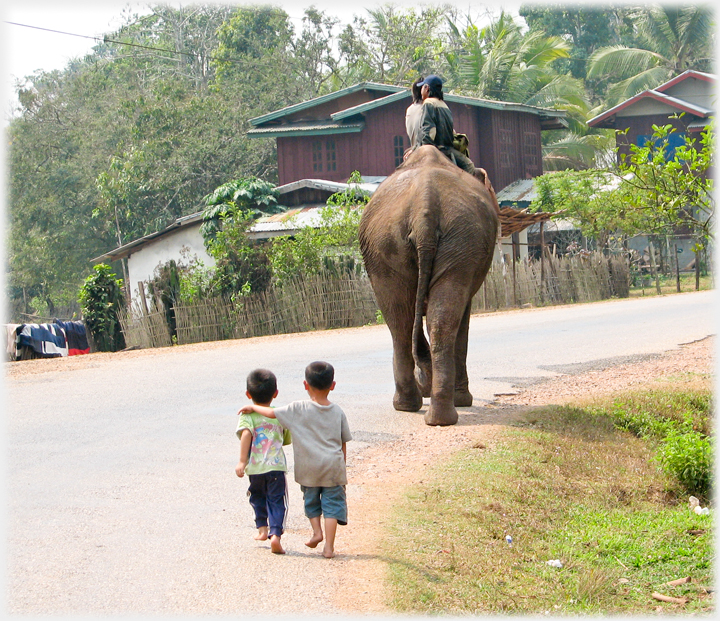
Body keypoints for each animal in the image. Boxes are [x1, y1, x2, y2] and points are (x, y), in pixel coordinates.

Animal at [358, 145, 498, 426]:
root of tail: (425, 206)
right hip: (452, 241)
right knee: (431, 320)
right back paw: (438, 410)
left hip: (392, 244)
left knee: (401, 321)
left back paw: (419, 409)